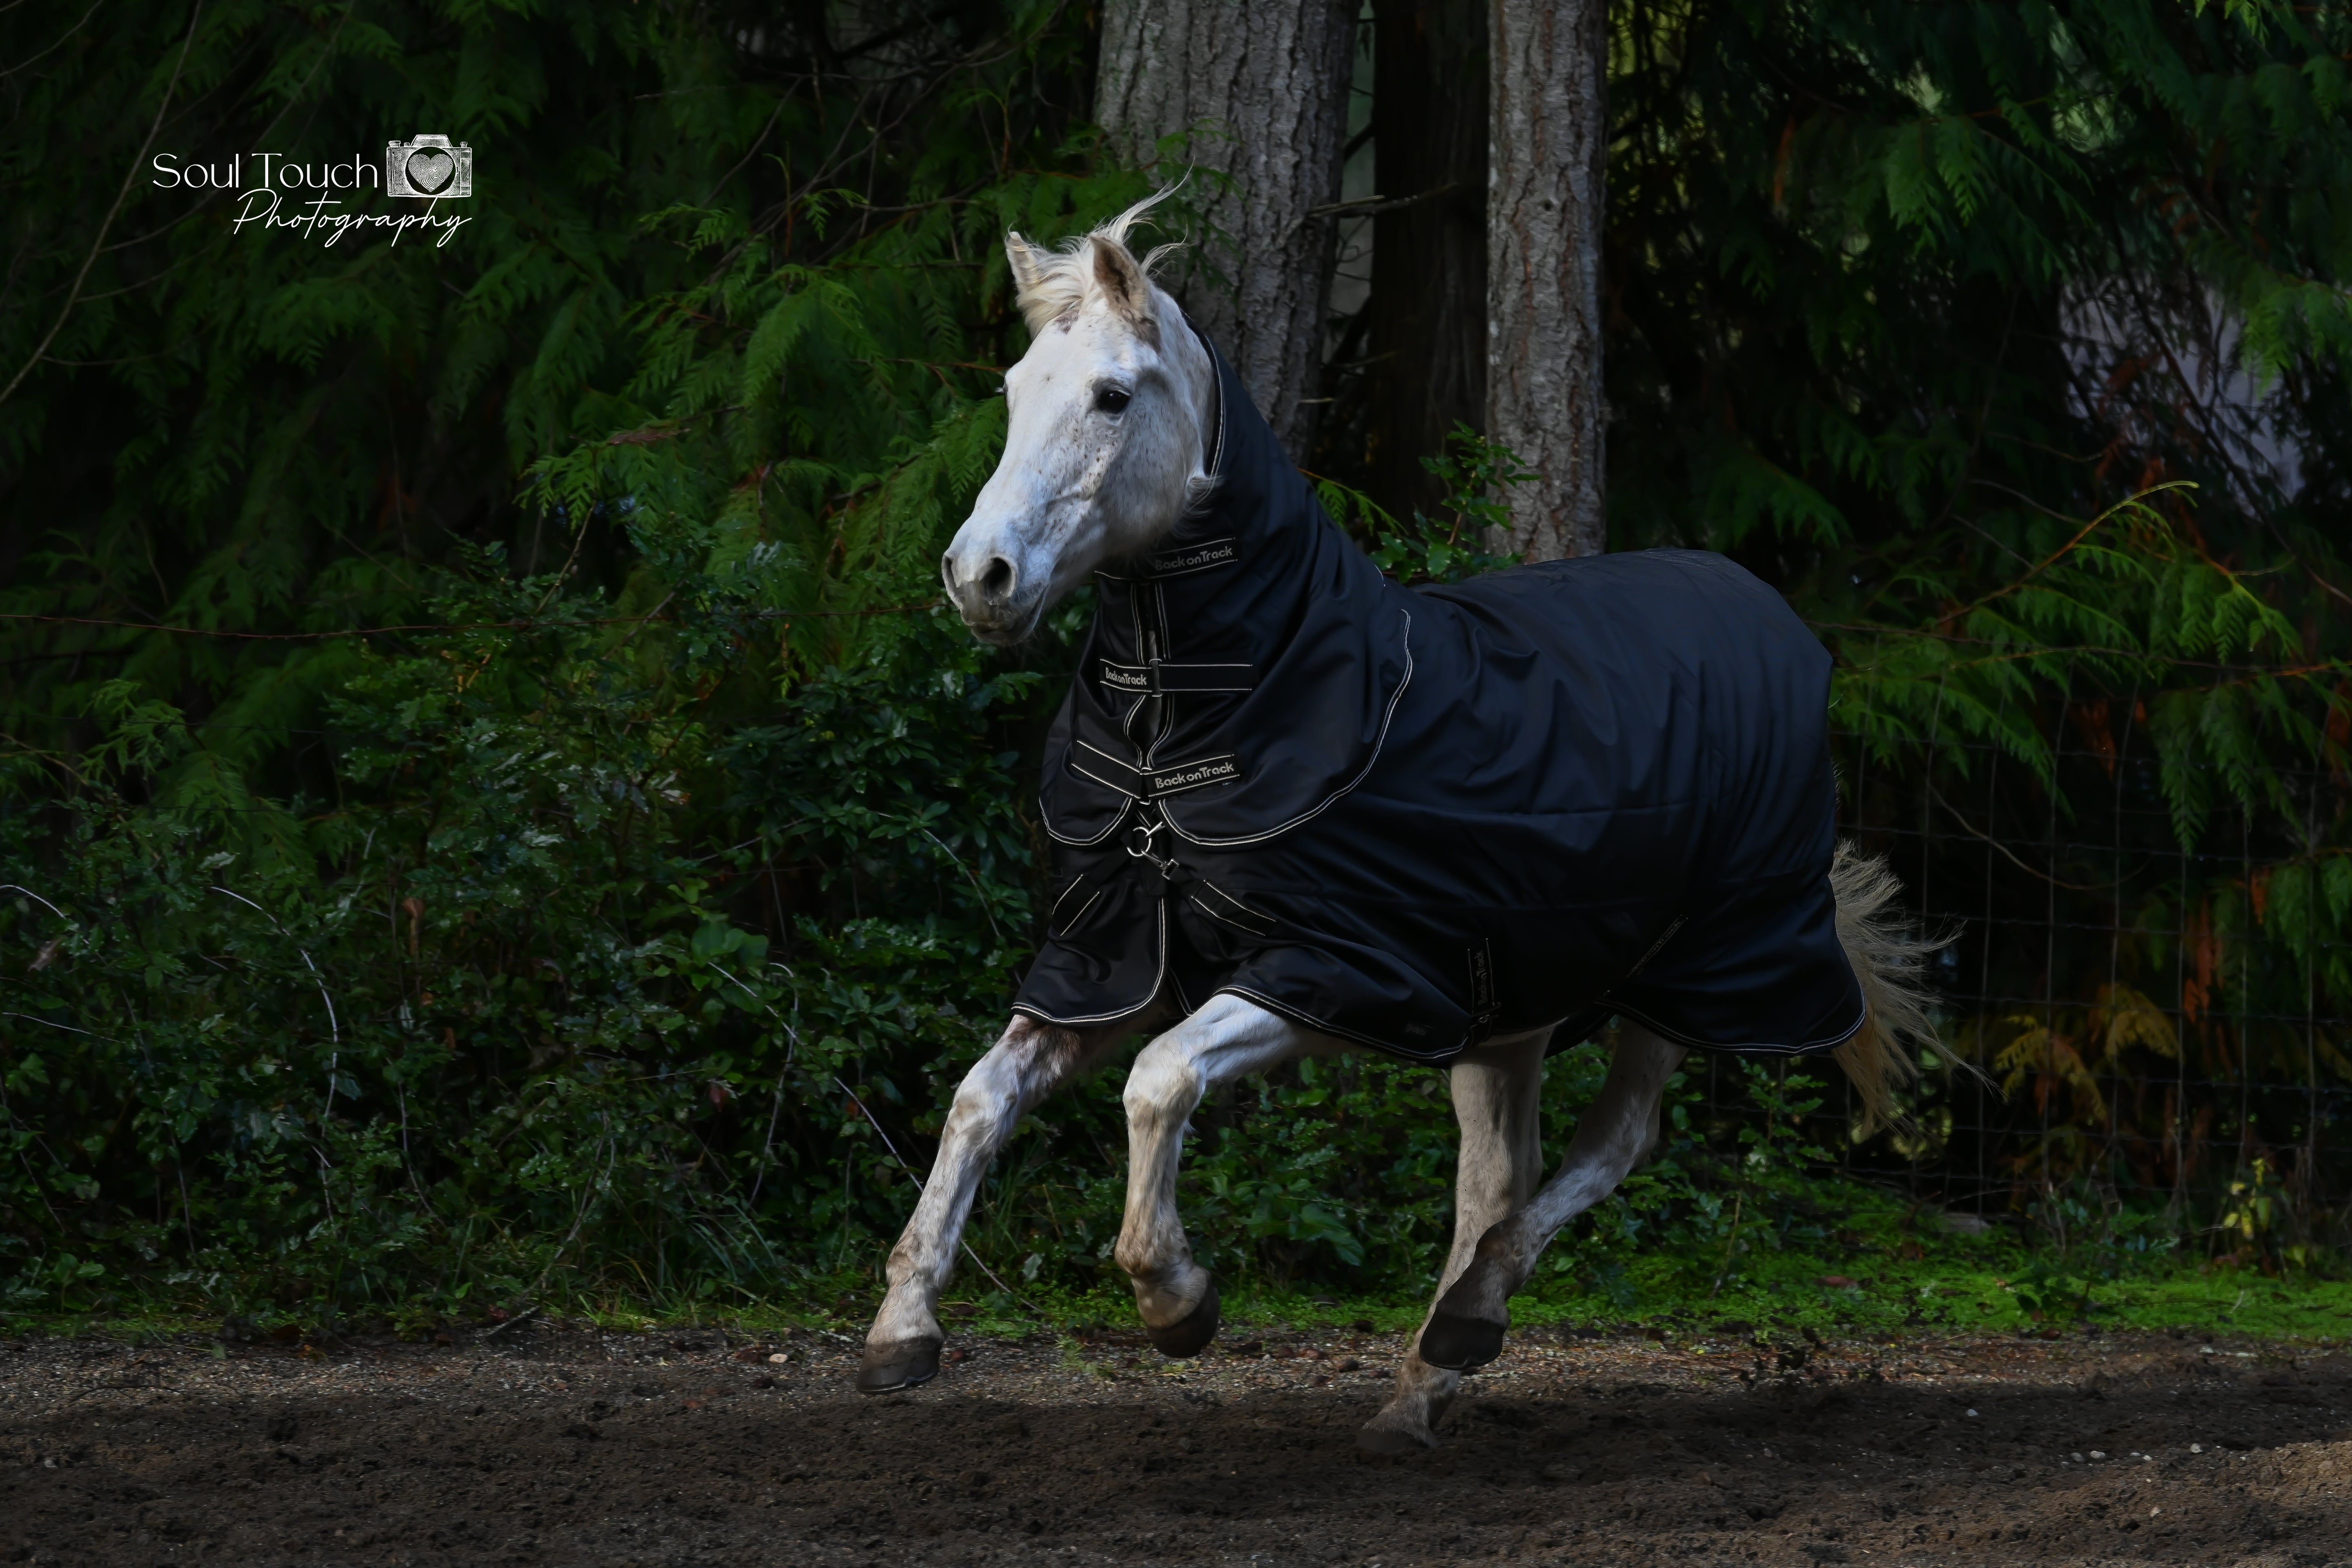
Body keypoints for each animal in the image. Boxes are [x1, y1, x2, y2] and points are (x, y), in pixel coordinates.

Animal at [858, 191, 1939, 1453]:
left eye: (1114, 395)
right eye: (1016, 386)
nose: (979, 576)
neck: (1218, 711)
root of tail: (1772, 614)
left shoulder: (1330, 972)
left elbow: (1157, 1084)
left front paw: (1175, 1300)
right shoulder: (1111, 967)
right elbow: (981, 1095)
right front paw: (901, 1330)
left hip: (1687, 977)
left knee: (1614, 1144)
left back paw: (1469, 1318)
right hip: (1511, 1009)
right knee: (1496, 1177)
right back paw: (1421, 1386)